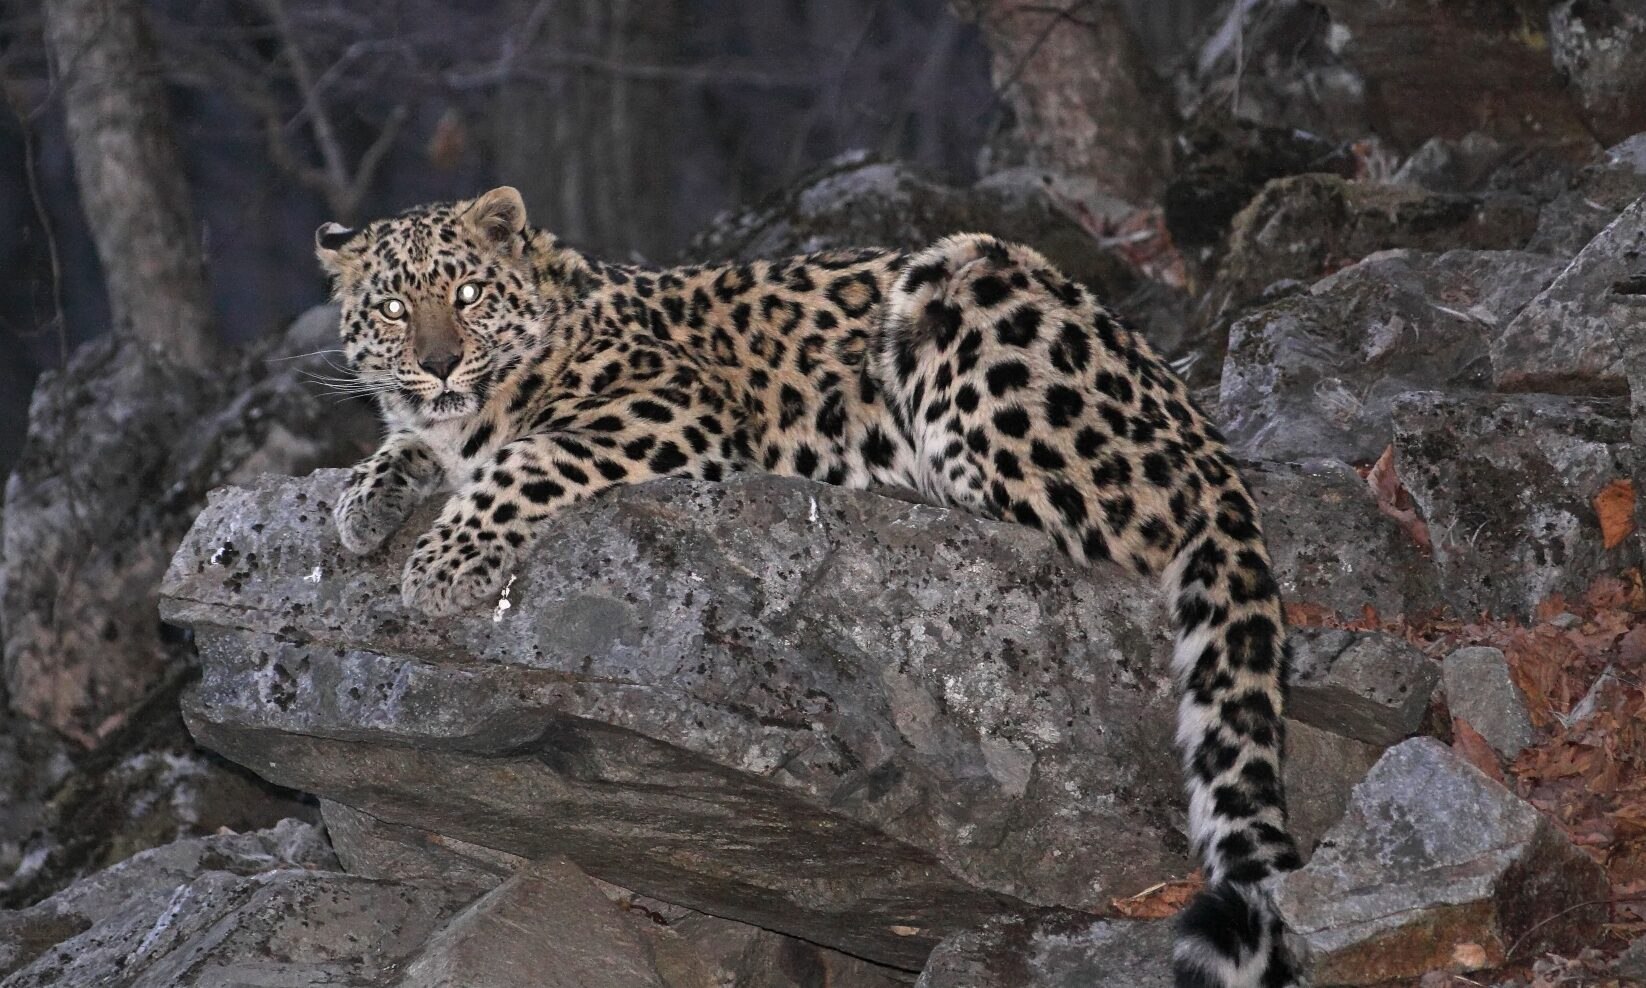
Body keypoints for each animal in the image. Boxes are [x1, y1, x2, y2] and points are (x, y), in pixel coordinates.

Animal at [314, 186, 1303, 988]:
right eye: (395, 307)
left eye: (469, 295)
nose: (440, 363)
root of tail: (1197, 424)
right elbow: (410, 446)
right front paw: (362, 501)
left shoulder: (666, 408)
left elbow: (523, 458)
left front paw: (444, 562)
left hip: (968, 277)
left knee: (1091, 524)